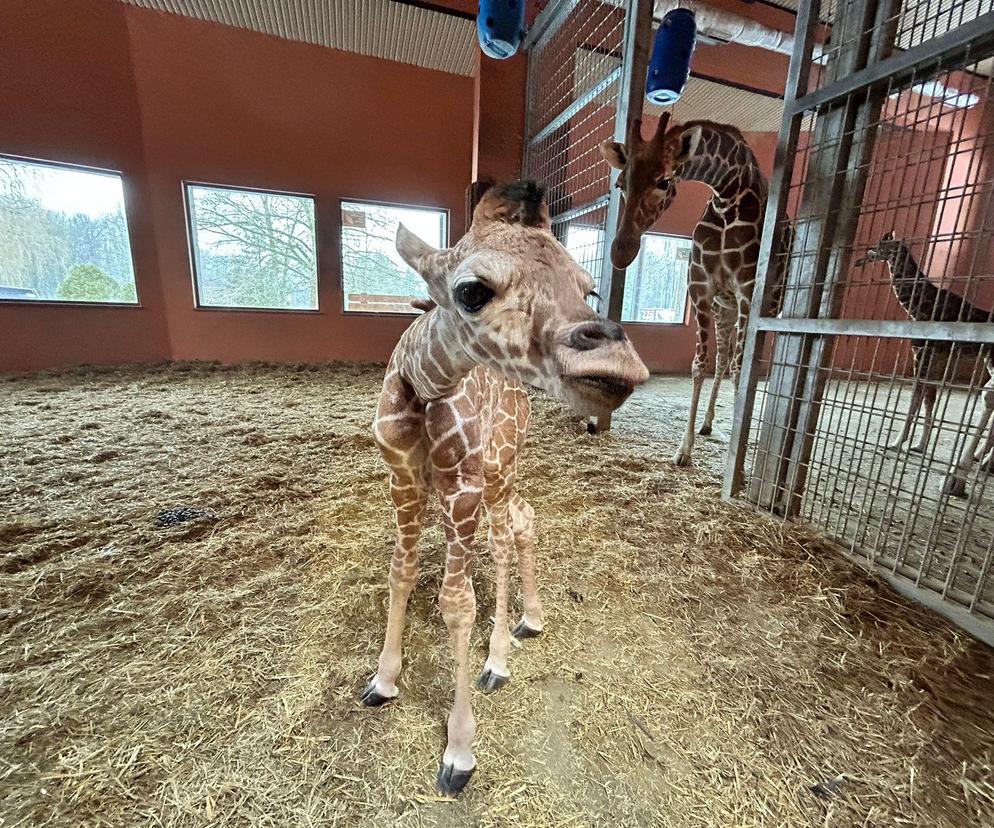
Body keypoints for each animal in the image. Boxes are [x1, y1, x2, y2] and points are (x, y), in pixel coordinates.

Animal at [360, 181, 648, 796]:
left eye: (588, 289)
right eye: (471, 290)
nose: (616, 362)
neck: (421, 387)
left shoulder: (463, 487)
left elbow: (457, 603)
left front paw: (459, 752)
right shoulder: (401, 479)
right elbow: (400, 572)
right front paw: (383, 680)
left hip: (497, 469)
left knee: (508, 533)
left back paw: (503, 654)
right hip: (491, 479)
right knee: (520, 520)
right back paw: (526, 622)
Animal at [600, 115, 788, 466]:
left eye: (664, 181)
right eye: (620, 185)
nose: (620, 253)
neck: (727, 196)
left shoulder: (748, 292)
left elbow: (742, 372)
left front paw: (735, 459)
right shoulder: (701, 289)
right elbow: (700, 364)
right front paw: (684, 449)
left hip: (769, 308)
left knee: (750, 368)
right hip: (724, 309)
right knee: (723, 359)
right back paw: (708, 423)